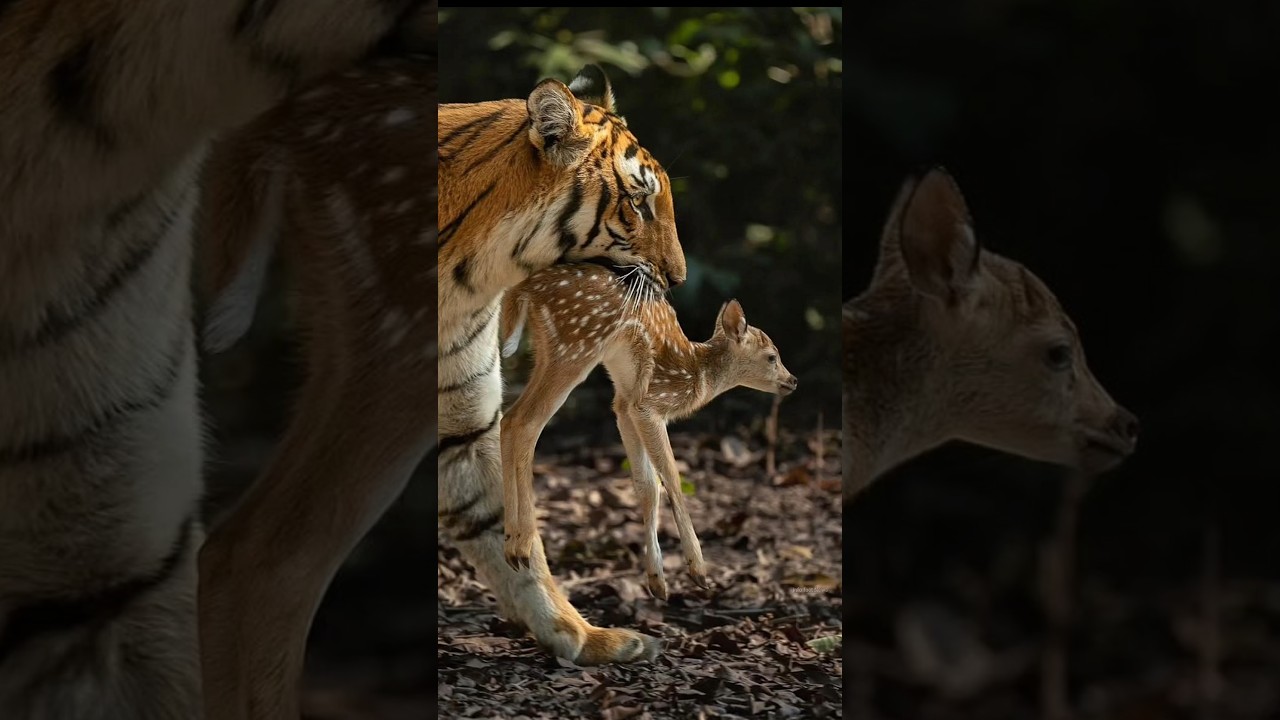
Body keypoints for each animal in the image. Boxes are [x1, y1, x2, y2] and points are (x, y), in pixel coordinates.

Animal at [438, 64, 686, 665]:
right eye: (640, 203)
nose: (680, 278)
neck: (468, 280)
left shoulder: (465, 426)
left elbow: (500, 523)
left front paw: (580, 635)